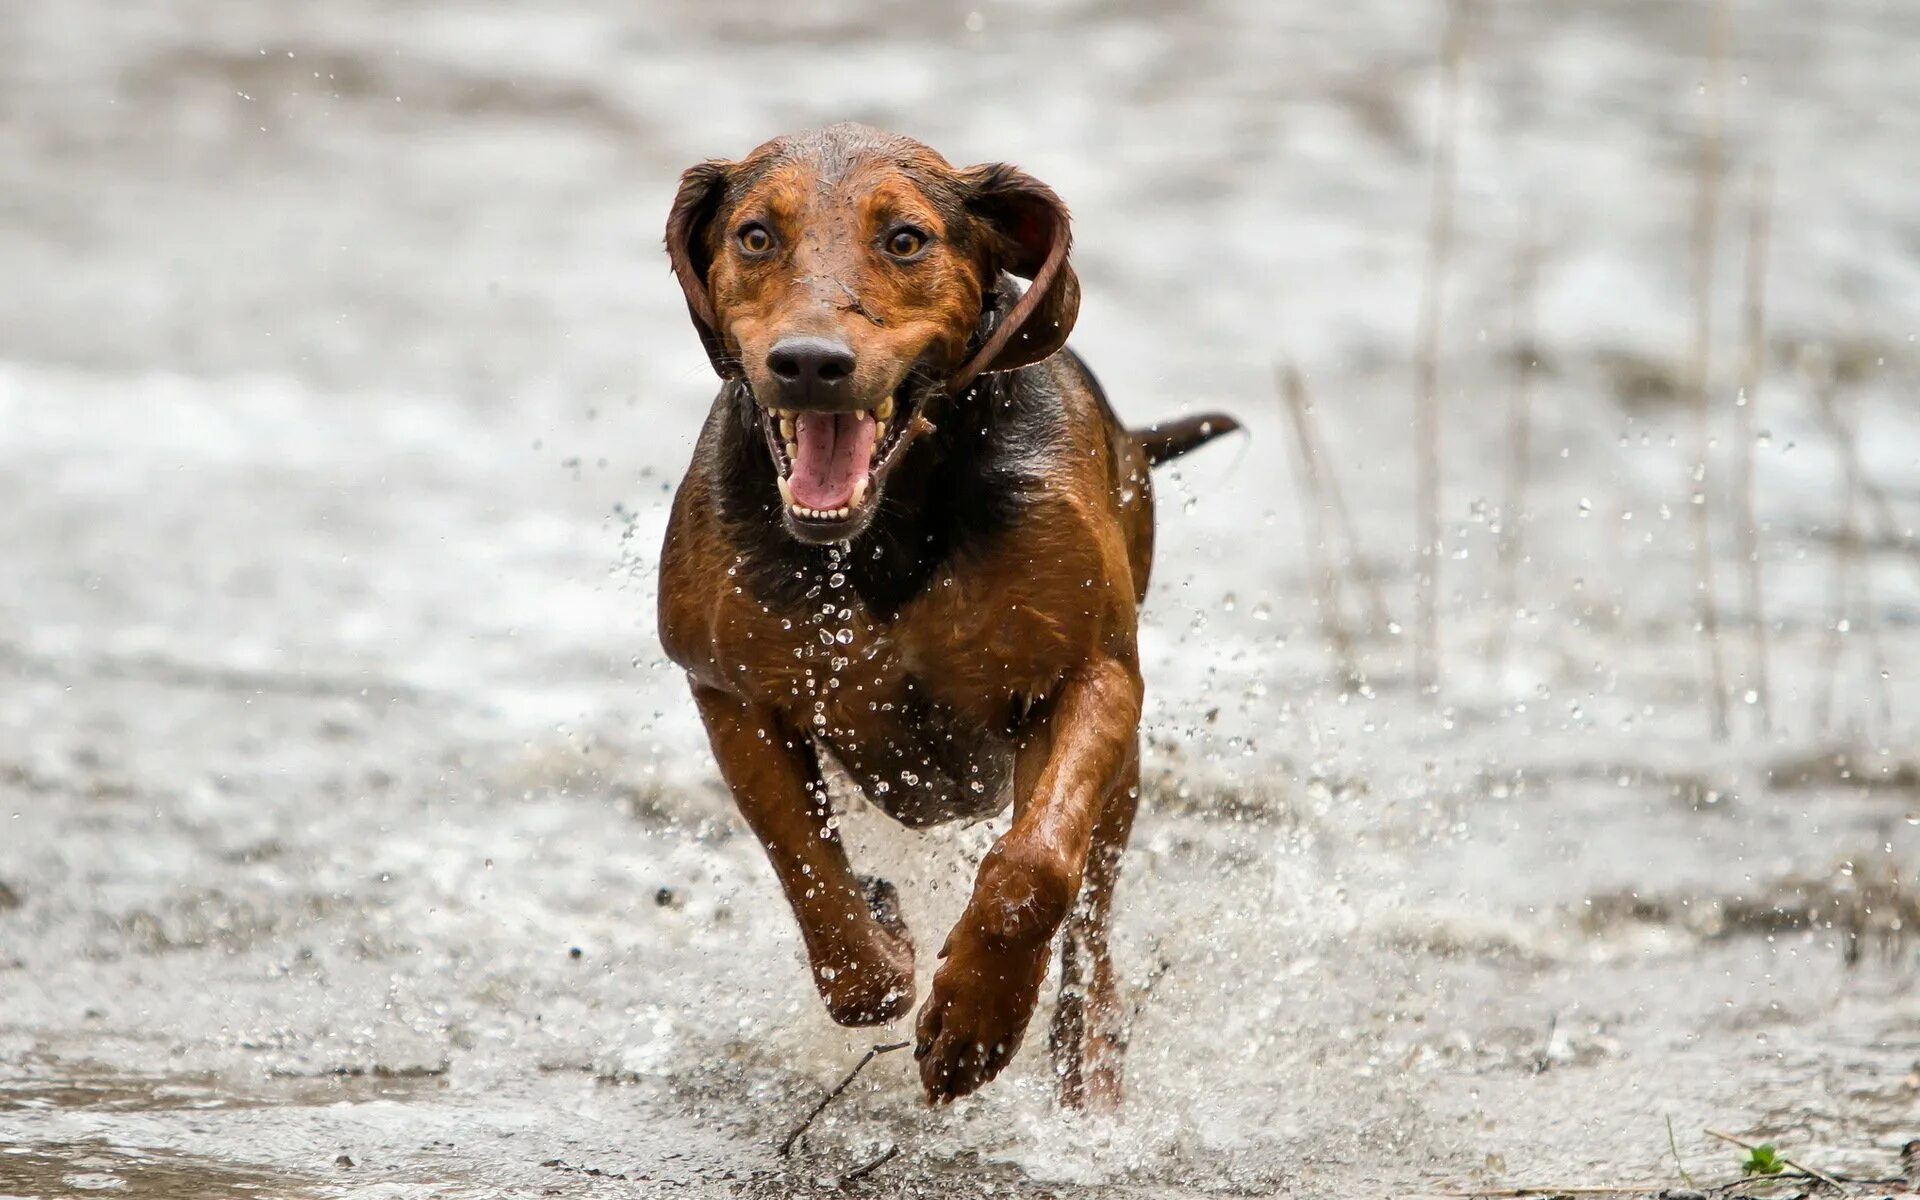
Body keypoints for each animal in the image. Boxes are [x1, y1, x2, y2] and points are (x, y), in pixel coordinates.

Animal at [656, 123, 1228, 1105]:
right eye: (755, 235)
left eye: (905, 240)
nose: (810, 363)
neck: (884, 532)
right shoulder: (727, 687)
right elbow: (807, 866)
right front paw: (882, 952)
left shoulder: (1091, 674)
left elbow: (1035, 866)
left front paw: (975, 1021)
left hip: (1121, 780)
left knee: (1091, 920)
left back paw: (1089, 1065)